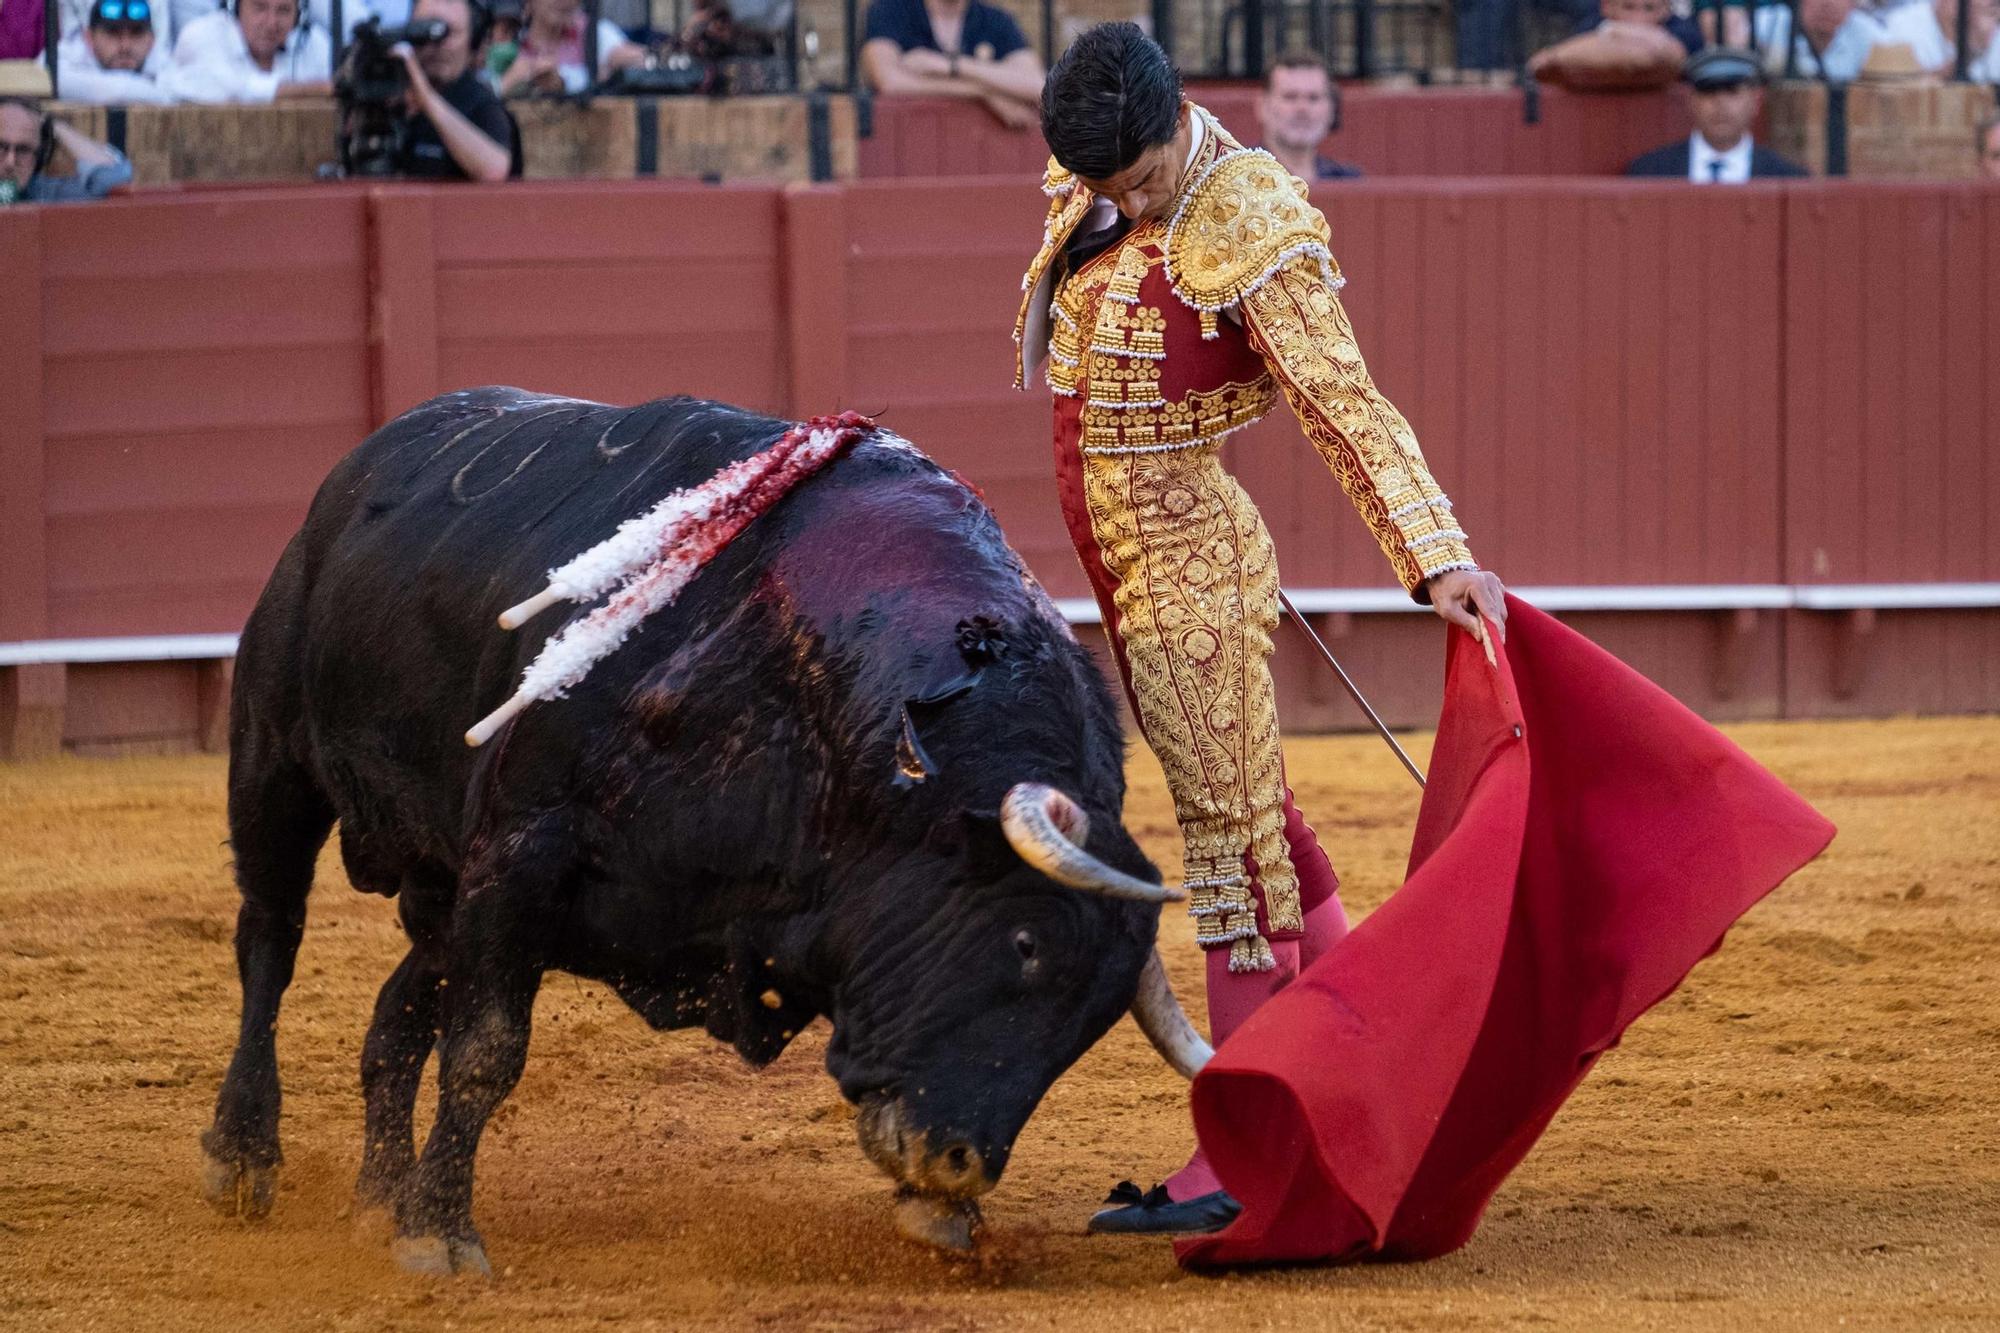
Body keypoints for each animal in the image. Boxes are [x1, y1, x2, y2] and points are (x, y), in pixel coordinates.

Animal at [199, 386, 1200, 1264]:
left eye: (1096, 1014)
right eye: (1026, 943)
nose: (960, 1163)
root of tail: (361, 469)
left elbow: (449, 1029)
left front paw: (944, 1217)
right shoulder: (521, 855)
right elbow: (485, 1051)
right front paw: (439, 1234)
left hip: (447, 886)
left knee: (396, 1013)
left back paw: (375, 1199)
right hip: (276, 764)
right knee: (270, 938)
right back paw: (244, 1155)